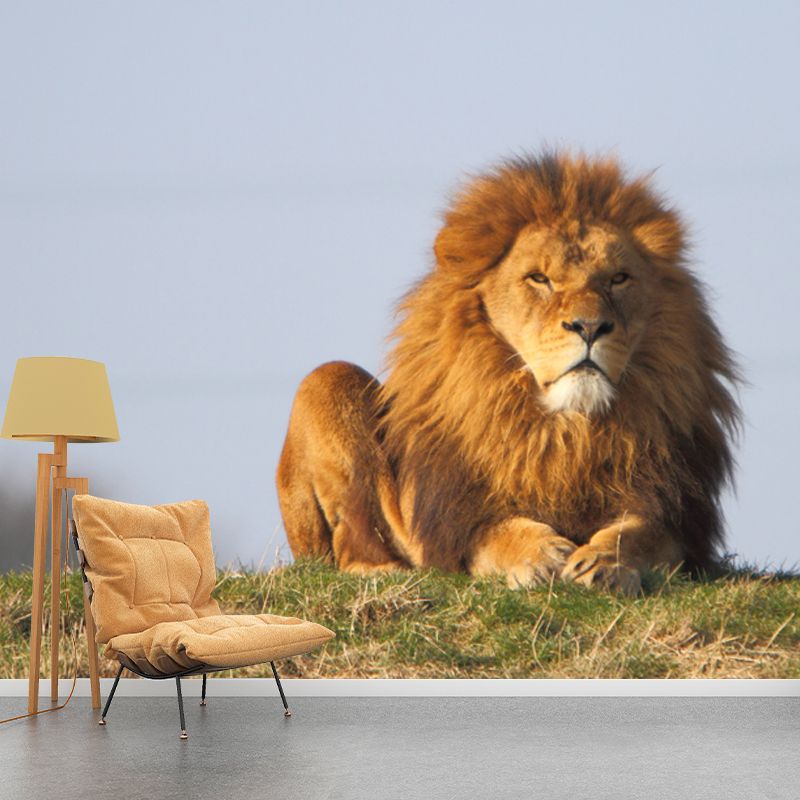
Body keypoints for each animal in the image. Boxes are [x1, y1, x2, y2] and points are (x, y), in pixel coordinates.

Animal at [276, 152, 740, 594]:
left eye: (619, 279)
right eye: (539, 278)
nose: (590, 327)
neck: (567, 431)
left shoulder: (677, 516)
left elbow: (641, 533)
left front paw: (605, 562)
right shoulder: (458, 519)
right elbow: (496, 533)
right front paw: (540, 555)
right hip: (328, 382)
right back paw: (385, 573)